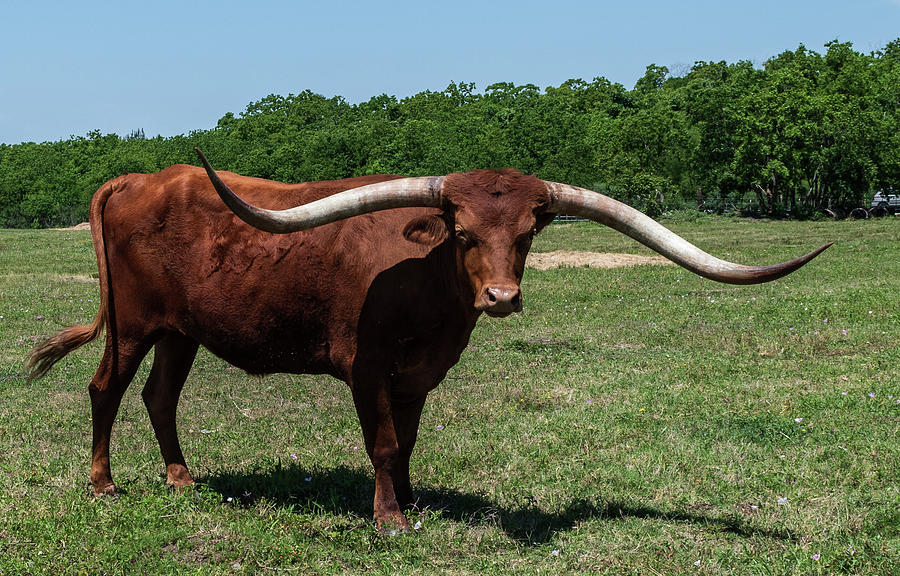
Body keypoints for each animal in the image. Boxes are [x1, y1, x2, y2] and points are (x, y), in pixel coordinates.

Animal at [28, 152, 828, 532]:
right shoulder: (367, 365)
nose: (501, 298)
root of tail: (140, 178)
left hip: (180, 332)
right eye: (462, 231)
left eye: (529, 230)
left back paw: (182, 480)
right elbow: (382, 442)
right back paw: (103, 484)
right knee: (105, 389)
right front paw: (389, 518)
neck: (430, 287)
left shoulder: (419, 372)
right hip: (134, 324)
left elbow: (407, 441)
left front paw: (412, 498)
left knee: (160, 398)